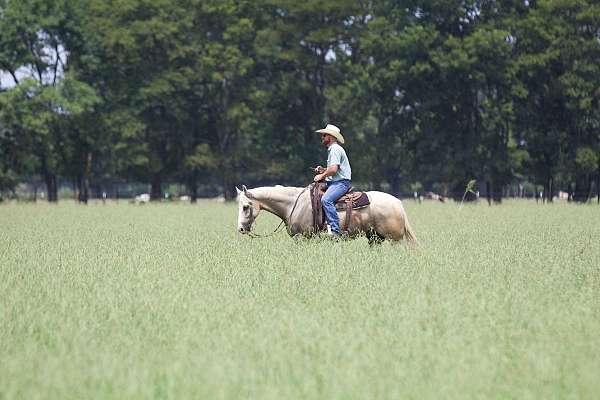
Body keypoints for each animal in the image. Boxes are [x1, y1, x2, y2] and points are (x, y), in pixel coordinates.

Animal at [236, 184, 418, 244]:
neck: (293, 204)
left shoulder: (303, 238)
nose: (240, 229)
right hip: (374, 238)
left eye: (245, 206)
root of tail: (398, 203)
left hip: (395, 240)